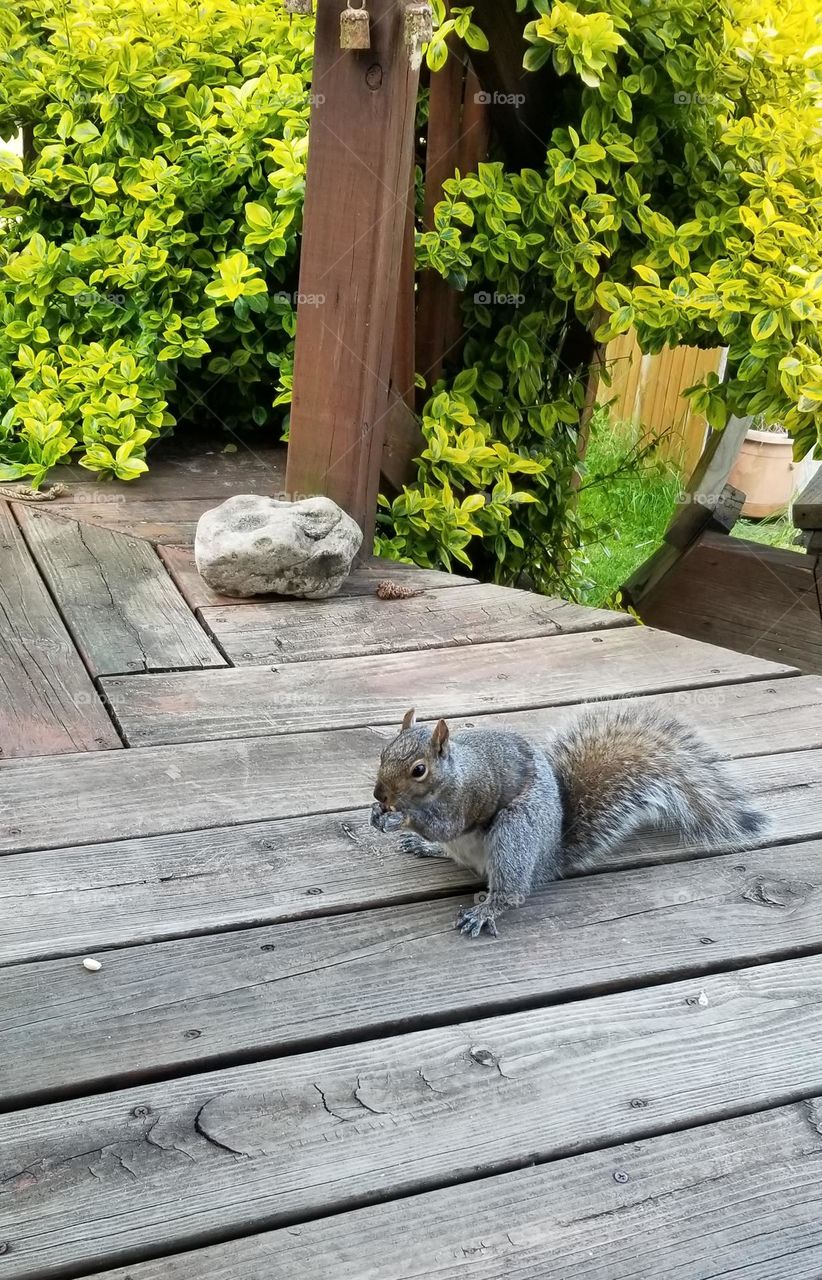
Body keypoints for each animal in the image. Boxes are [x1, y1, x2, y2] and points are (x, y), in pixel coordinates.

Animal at [371, 705, 767, 938]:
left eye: (418, 770)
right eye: (383, 753)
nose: (378, 795)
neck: (454, 772)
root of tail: (548, 859)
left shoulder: (468, 797)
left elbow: (446, 825)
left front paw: (403, 818)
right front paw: (381, 817)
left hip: (516, 834)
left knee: (513, 892)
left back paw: (486, 909)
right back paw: (426, 848)